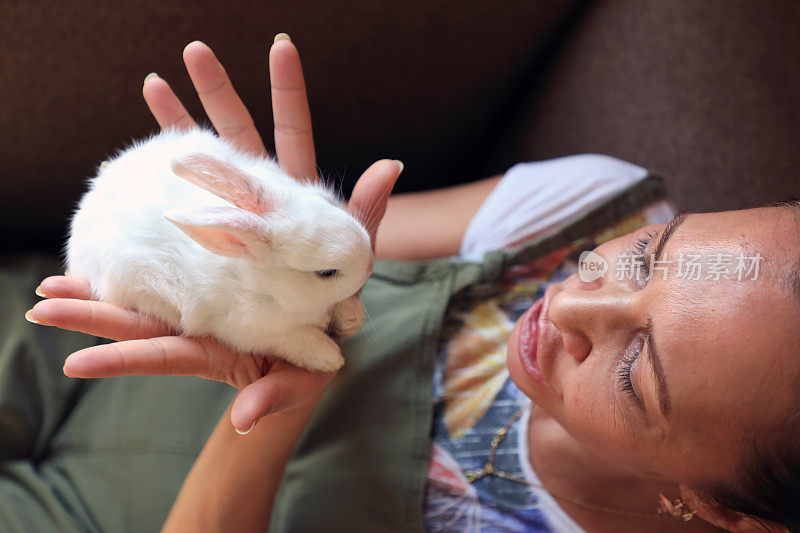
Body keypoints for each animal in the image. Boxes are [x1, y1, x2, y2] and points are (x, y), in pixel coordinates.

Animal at [65, 128, 372, 370]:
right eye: (326, 273)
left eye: (329, 202)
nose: (369, 264)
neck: (262, 284)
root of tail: (91, 196)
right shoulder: (244, 329)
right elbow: (292, 339)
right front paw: (328, 357)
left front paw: (350, 318)